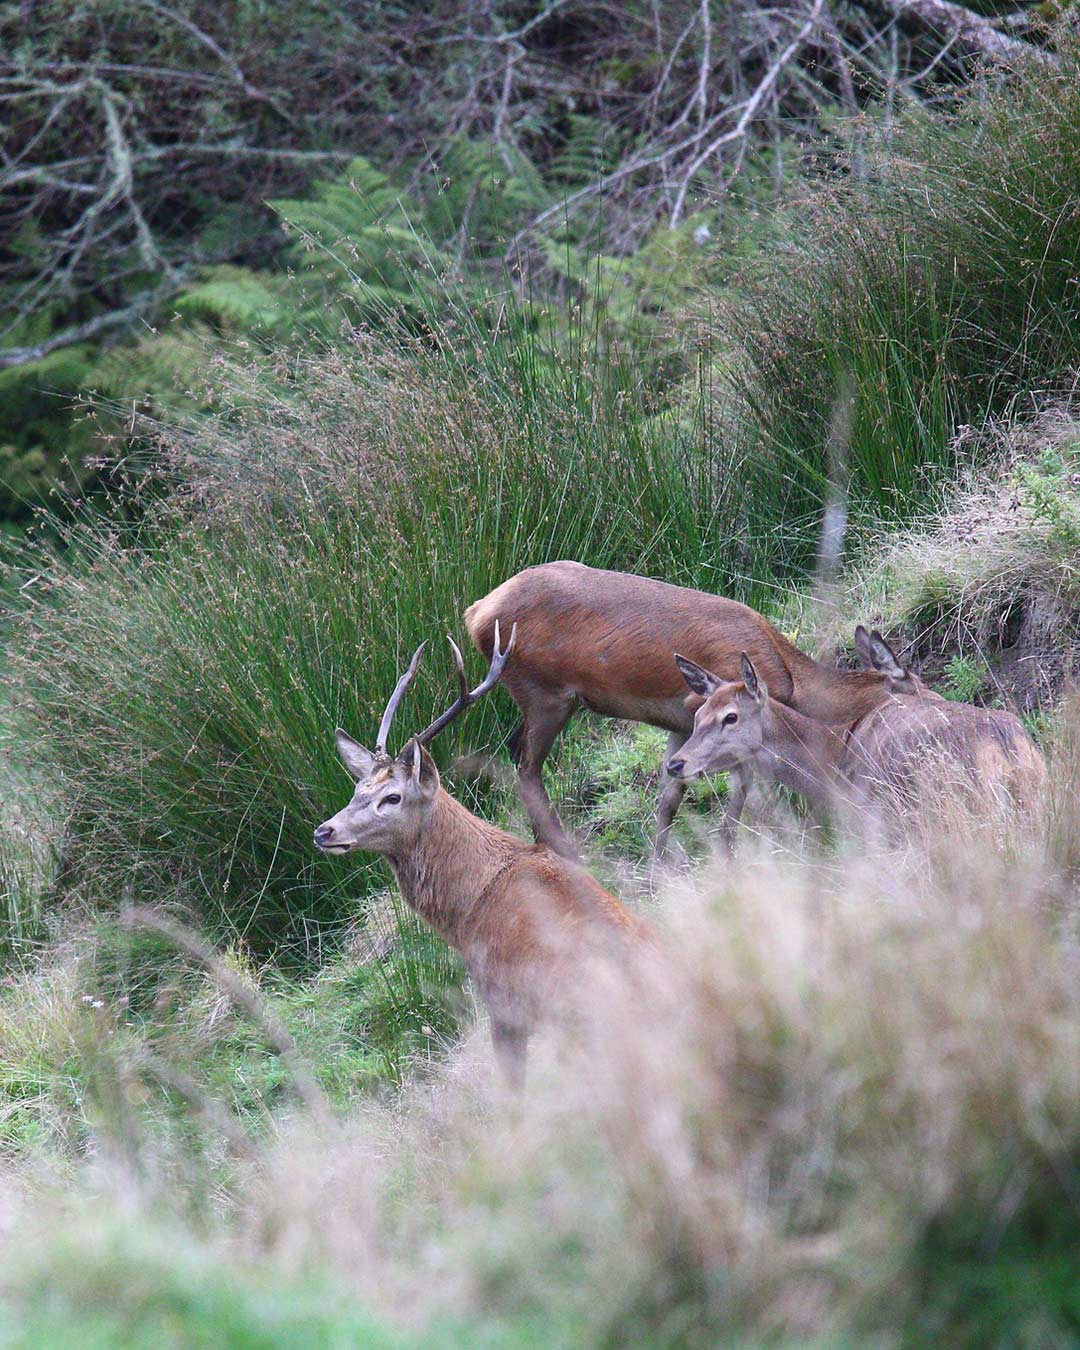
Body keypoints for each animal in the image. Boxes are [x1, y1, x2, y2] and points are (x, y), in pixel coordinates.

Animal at [465, 561, 924, 861]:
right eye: (914, 687)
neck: (789, 679)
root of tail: (475, 612)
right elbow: (740, 800)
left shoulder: (681, 726)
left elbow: (669, 797)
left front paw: (658, 870)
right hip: (545, 692)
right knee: (526, 764)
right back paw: (563, 851)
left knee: (515, 751)